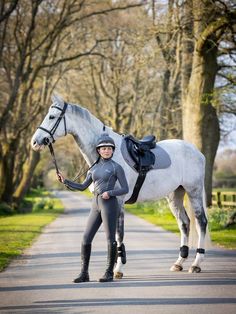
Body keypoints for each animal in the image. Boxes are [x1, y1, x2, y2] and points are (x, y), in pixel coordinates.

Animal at [30, 94, 208, 276]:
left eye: (52, 117)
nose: (35, 142)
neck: (107, 155)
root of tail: (196, 151)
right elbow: (115, 234)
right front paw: (116, 266)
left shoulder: (118, 201)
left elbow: (118, 234)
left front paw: (117, 269)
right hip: (175, 195)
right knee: (184, 223)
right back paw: (179, 262)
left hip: (193, 191)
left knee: (201, 222)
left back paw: (196, 264)